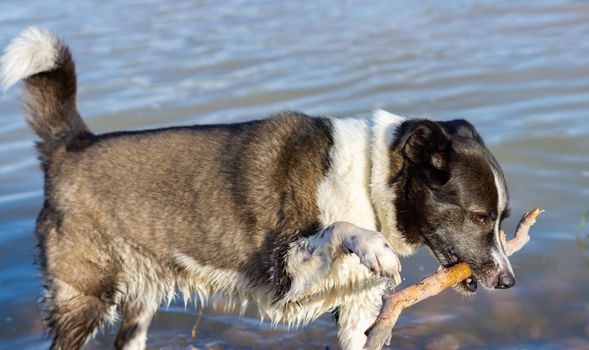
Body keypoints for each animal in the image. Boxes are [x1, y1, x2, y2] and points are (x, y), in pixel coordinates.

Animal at [1, 28, 516, 350]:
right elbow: (340, 229)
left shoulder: (356, 311)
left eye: (502, 220)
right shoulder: (285, 275)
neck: (370, 178)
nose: (509, 282)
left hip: (140, 300)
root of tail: (71, 145)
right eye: (478, 217)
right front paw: (373, 246)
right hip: (83, 297)